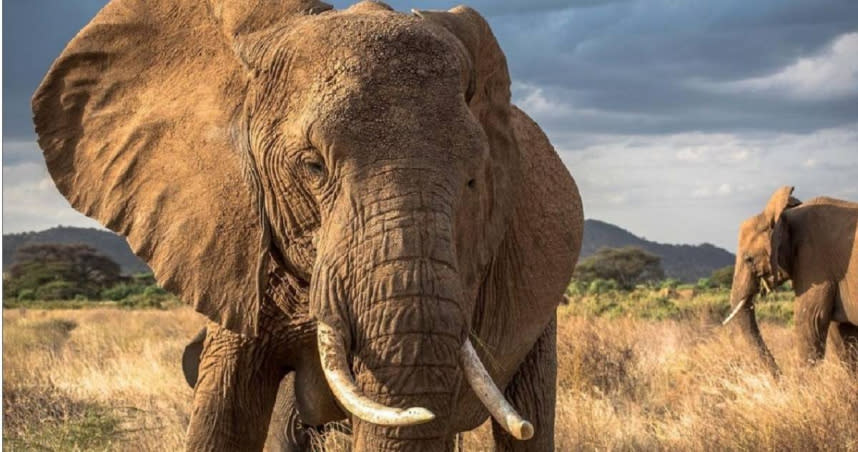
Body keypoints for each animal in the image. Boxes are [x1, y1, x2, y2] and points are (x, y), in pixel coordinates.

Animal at [724, 185, 856, 372]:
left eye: (749, 259)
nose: (781, 375)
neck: (786, 215)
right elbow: (842, 332)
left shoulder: (815, 262)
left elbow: (810, 321)